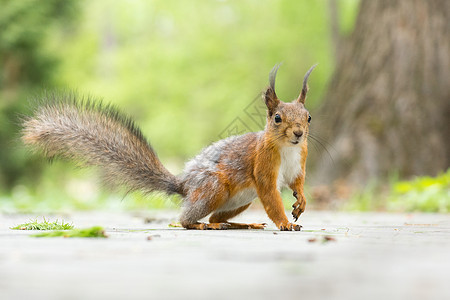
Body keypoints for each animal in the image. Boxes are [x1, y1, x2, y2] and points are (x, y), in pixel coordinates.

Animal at [22, 64, 316, 231]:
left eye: (309, 117)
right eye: (277, 118)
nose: (299, 133)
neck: (287, 148)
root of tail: (184, 186)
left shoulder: (299, 162)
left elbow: (298, 183)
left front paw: (301, 202)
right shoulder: (263, 165)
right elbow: (271, 195)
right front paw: (285, 223)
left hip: (240, 199)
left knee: (215, 217)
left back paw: (241, 224)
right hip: (215, 187)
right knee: (188, 219)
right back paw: (201, 225)